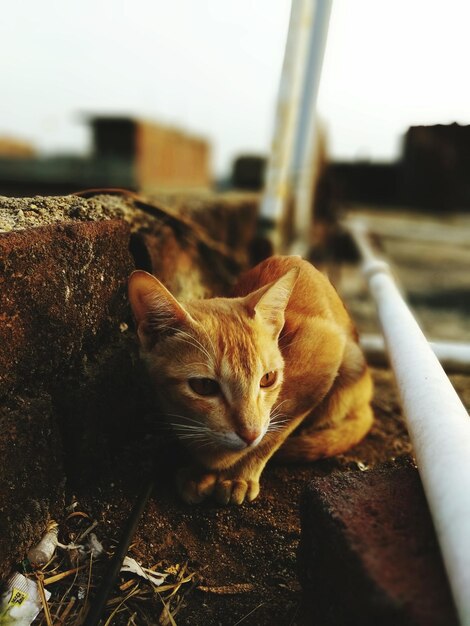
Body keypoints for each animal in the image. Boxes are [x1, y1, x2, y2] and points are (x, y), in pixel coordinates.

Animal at [126, 254, 372, 502]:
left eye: (268, 378)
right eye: (204, 386)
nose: (249, 434)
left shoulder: (324, 356)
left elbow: (272, 434)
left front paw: (237, 475)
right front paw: (202, 469)